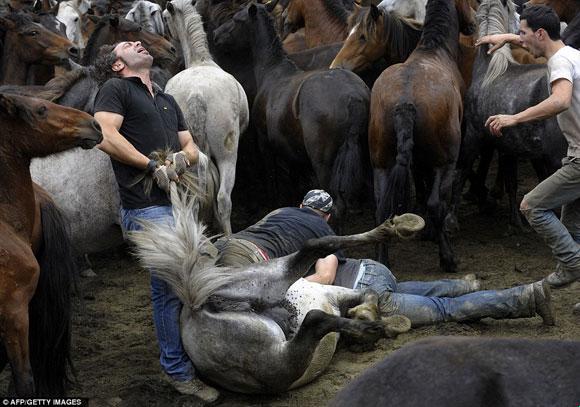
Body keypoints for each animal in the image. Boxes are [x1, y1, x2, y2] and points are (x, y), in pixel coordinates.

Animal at [129, 186, 424, 396]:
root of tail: (195, 307)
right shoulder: (331, 293)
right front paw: (372, 323)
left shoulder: (339, 294)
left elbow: (368, 296)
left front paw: (367, 316)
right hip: (273, 296)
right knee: (316, 281)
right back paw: (395, 229)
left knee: (316, 309)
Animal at [162, 0, 248, 236]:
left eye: (164, 17)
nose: (168, 39)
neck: (200, 61)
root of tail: (196, 94)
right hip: (228, 153)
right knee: (223, 198)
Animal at [372, 0, 476, 274]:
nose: (473, 24)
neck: (433, 50)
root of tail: (404, 103)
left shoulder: (417, 161)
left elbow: (420, 183)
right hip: (445, 162)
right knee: (436, 204)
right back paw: (448, 257)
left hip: (381, 163)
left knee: (381, 207)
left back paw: (381, 259)